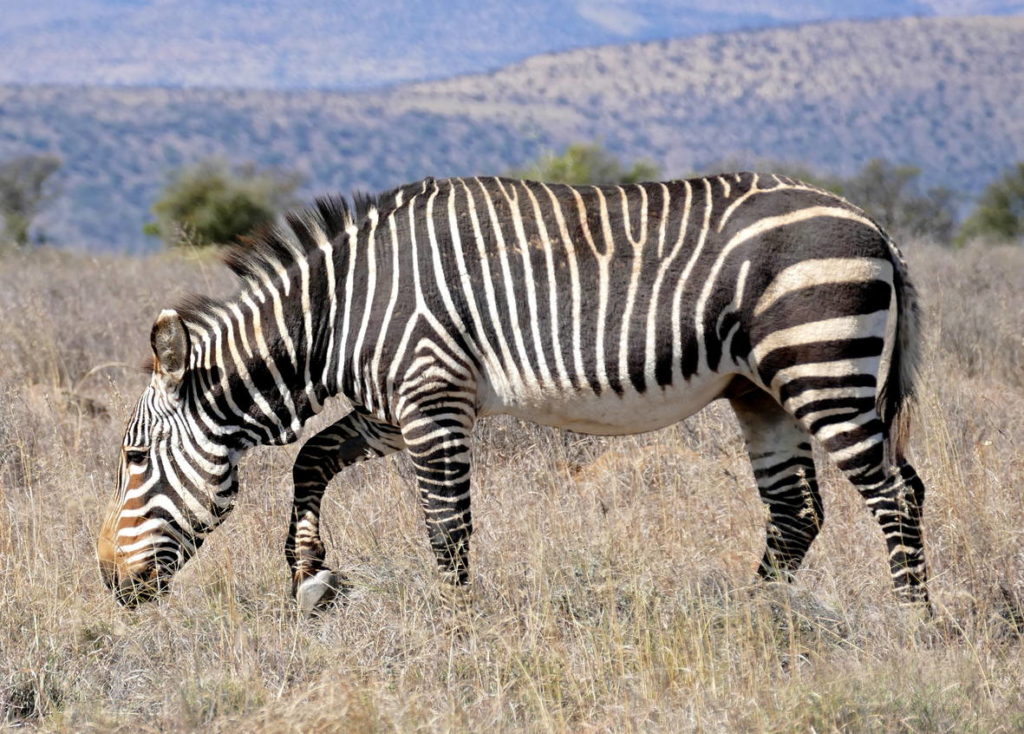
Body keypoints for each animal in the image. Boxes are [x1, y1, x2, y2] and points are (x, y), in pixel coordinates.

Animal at [97, 173, 930, 615]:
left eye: (134, 459)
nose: (107, 580)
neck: (337, 313)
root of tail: (875, 226)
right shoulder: (394, 406)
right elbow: (311, 460)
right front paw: (311, 578)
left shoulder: (432, 401)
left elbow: (447, 529)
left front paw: (455, 628)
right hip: (762, 392)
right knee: (799, 511)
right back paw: (752, 618)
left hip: (820, 367)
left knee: (894, 495)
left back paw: (912, 624)